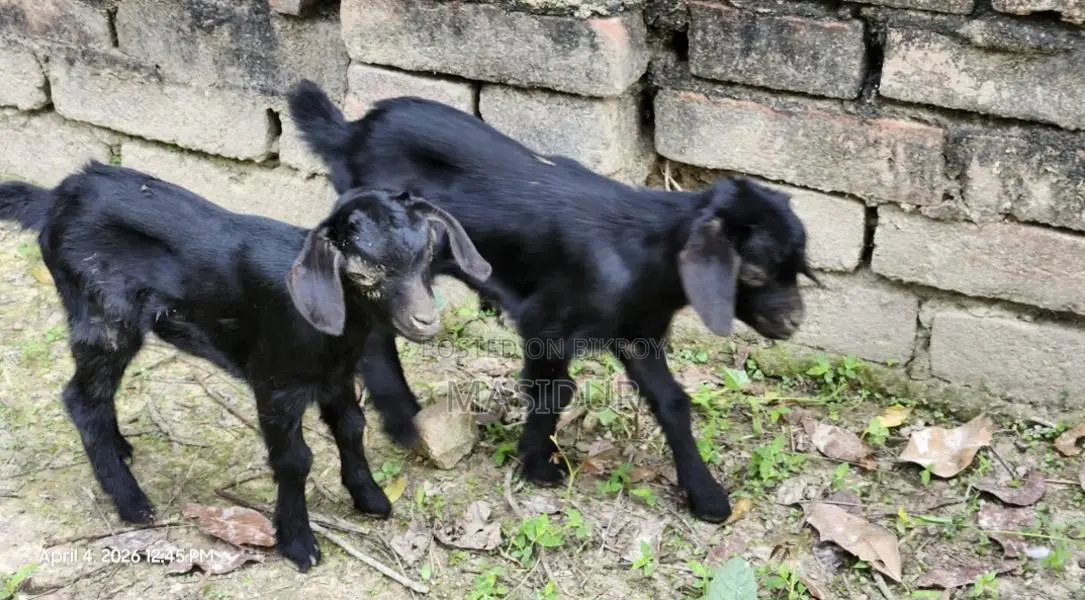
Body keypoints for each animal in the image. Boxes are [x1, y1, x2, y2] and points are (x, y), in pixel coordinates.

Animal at [0, 163, 491, 571]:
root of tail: (55, 198)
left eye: (427, 256)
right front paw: (298, 544)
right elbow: (295, 459)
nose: (426, 320)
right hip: (103, 313)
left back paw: (120, 449)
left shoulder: (336, 376)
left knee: (96, 395)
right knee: (80, 397)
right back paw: (132, 502)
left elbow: (352, 428)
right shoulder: (275, 383)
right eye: (365, 273)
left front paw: (371, 498)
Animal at [287, 80, 817, 524]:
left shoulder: (638, 333)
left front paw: (706, 495)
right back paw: (402, 420)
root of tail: (350, 132)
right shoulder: (548, 323)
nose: (793, 322)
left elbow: (672, 402)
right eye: (753, 271)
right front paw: (538, 465)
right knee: (376, 329)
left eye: (798, 265)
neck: (646, 248)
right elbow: (554, 390)